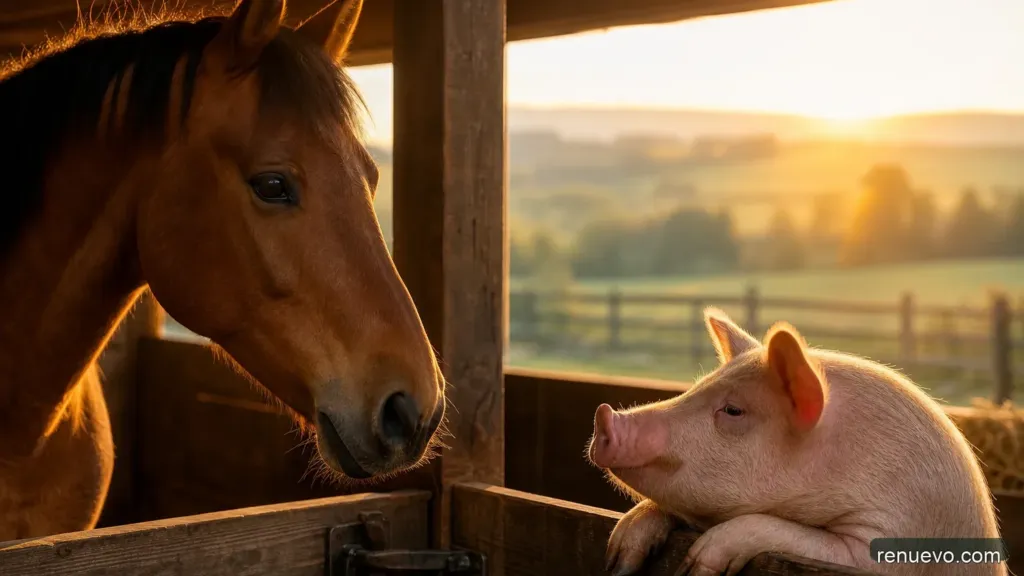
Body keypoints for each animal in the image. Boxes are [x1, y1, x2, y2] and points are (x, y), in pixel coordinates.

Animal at [588, 308, 1005, 576]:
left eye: (734, 410)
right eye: (695, 387)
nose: (605, 415)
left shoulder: (886, 545)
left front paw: (696, 567)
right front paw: (618, 559)